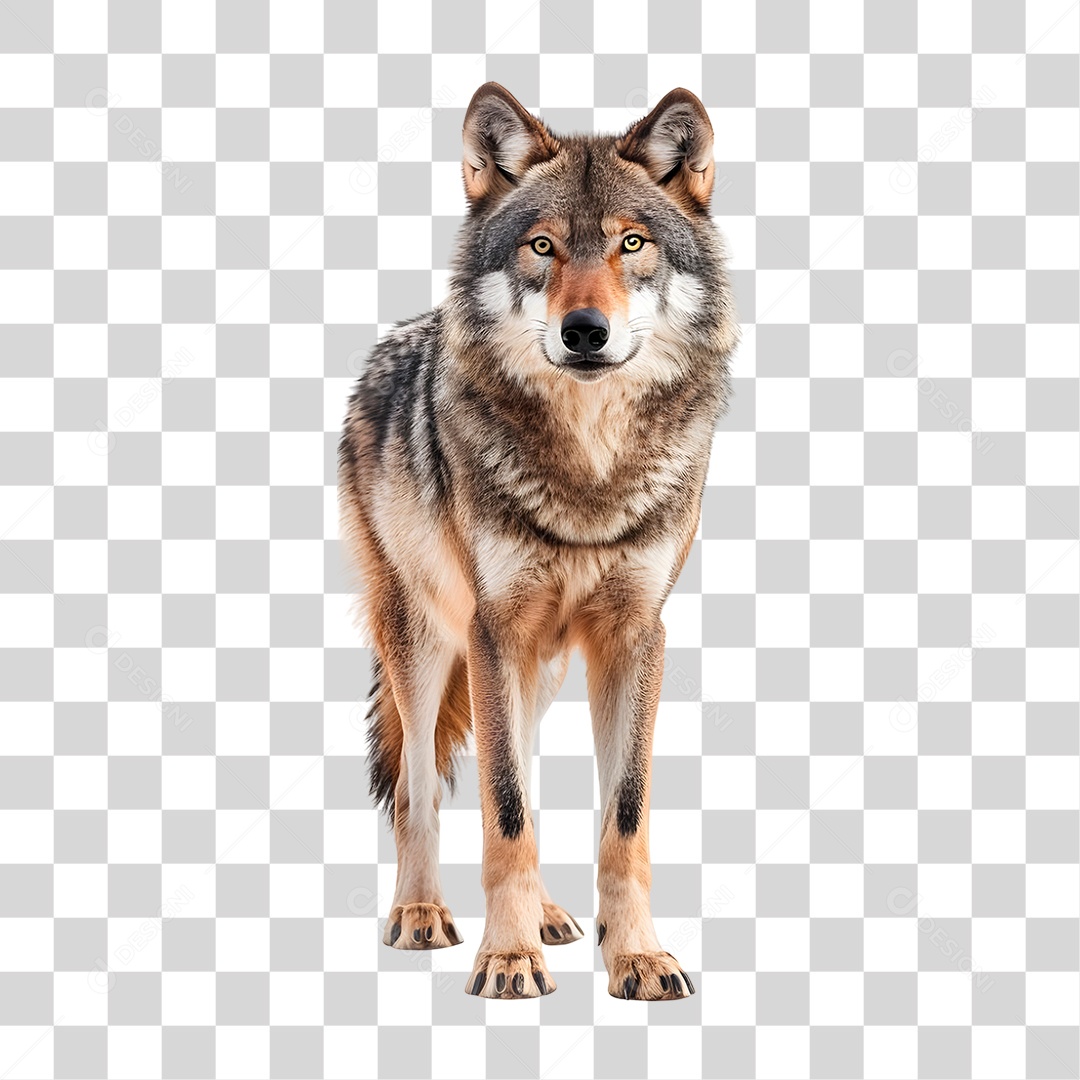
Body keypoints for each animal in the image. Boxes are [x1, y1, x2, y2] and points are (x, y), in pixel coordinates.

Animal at [338, 82, 738, 1000]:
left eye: (632, 243)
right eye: (543, 246)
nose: (585, 330)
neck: (588, 469)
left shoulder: (634, 634)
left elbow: (620, 815)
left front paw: (635, 956)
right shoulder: (493, 630)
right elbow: (504, 808)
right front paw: (507, 958)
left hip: (541, 666)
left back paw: (552, 915)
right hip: (426, 643)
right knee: (419, 787)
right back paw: (421, 914)